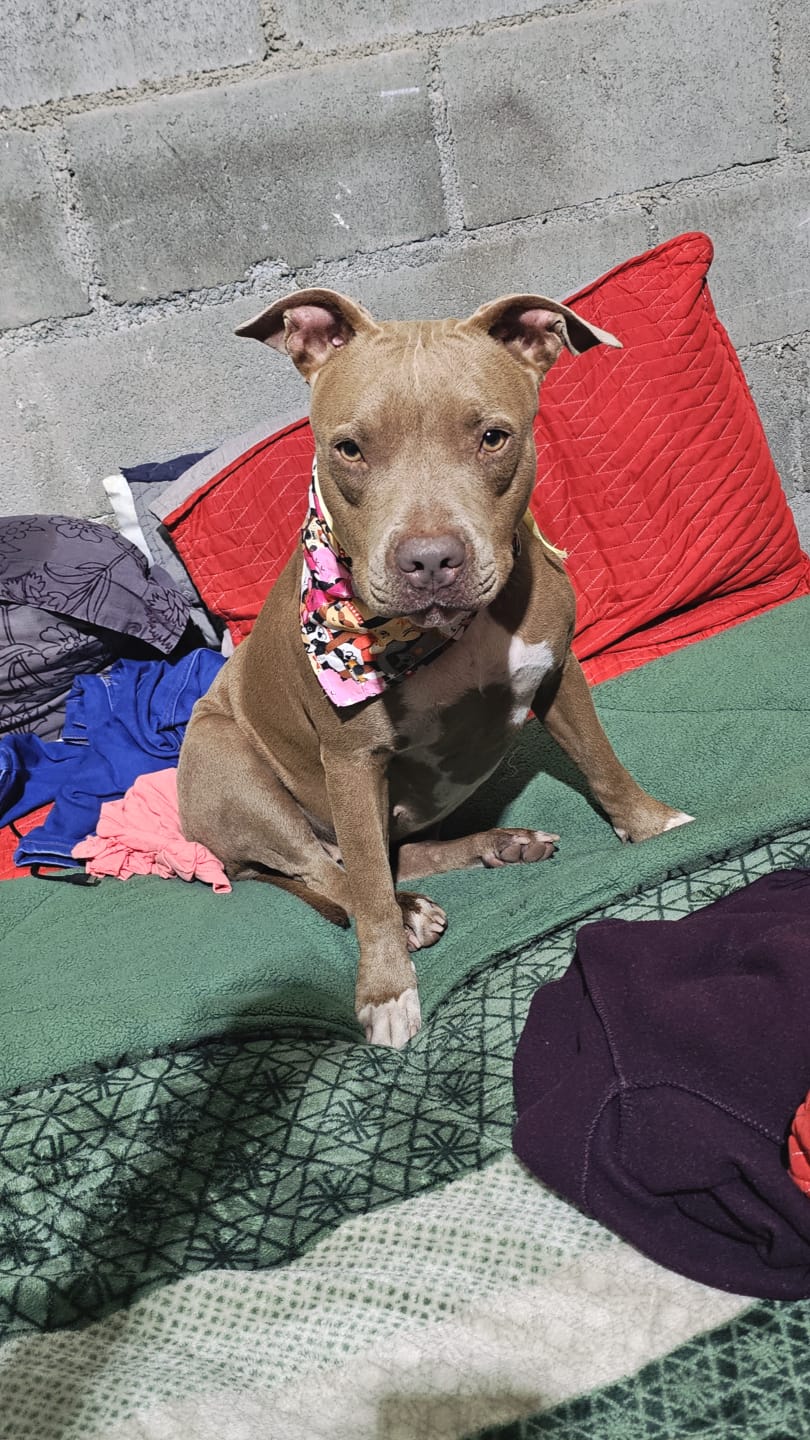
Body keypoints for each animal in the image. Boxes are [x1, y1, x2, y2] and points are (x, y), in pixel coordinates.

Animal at [177, 287, 691, 1048]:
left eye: (493, 437)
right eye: (349, 449)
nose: (429, 560)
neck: (443, 633)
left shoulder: (559, 672)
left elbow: (601, 760)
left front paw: (652, 824)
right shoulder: (351, 759)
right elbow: (365, 888)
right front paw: (386, 991)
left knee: (385, 854)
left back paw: (501, 845)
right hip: (227, 762)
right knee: (330, 869)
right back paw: (412, 910)